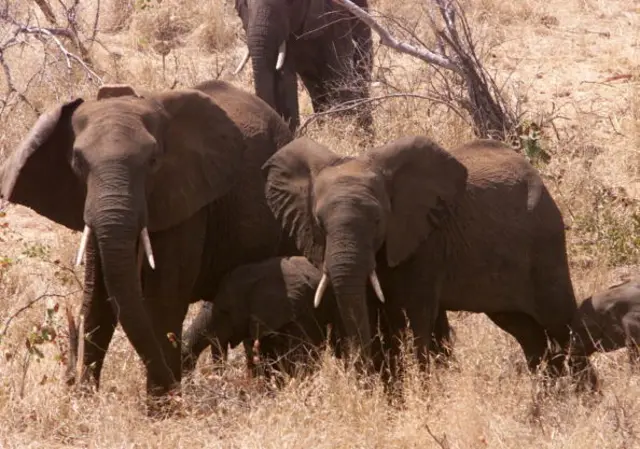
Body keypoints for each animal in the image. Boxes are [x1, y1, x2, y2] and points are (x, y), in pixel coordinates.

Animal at [0, 78, 294, 402]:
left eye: (153, 161)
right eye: (77, 162)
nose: (177, 390)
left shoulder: (186, 201)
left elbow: (163, 302)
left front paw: (163, 406)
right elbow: (98, 301)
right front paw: (87, 401)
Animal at [262, 134, 600, 388]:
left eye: (378, 221)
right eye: (319, 223)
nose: (363, 380)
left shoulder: (425, 243)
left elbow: (413, 316)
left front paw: (417, 392)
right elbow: (371, 310)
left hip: (545, 242)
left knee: (559, 320)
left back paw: (585, 397)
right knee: (526, 331)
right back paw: (550, 395)